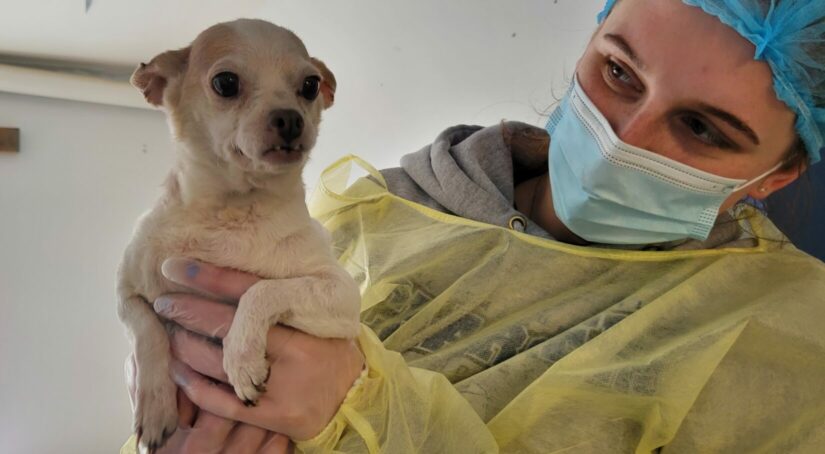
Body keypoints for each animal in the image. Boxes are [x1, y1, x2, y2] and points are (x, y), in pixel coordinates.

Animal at [116, 19, 360, 452]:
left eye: (310, 85)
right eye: (225, 83)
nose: (291, 119)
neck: (232, 211)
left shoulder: (344, 298)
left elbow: (262, 290)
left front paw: (241, 357)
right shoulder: (126, 293)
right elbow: (147, 330)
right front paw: (155, 405)